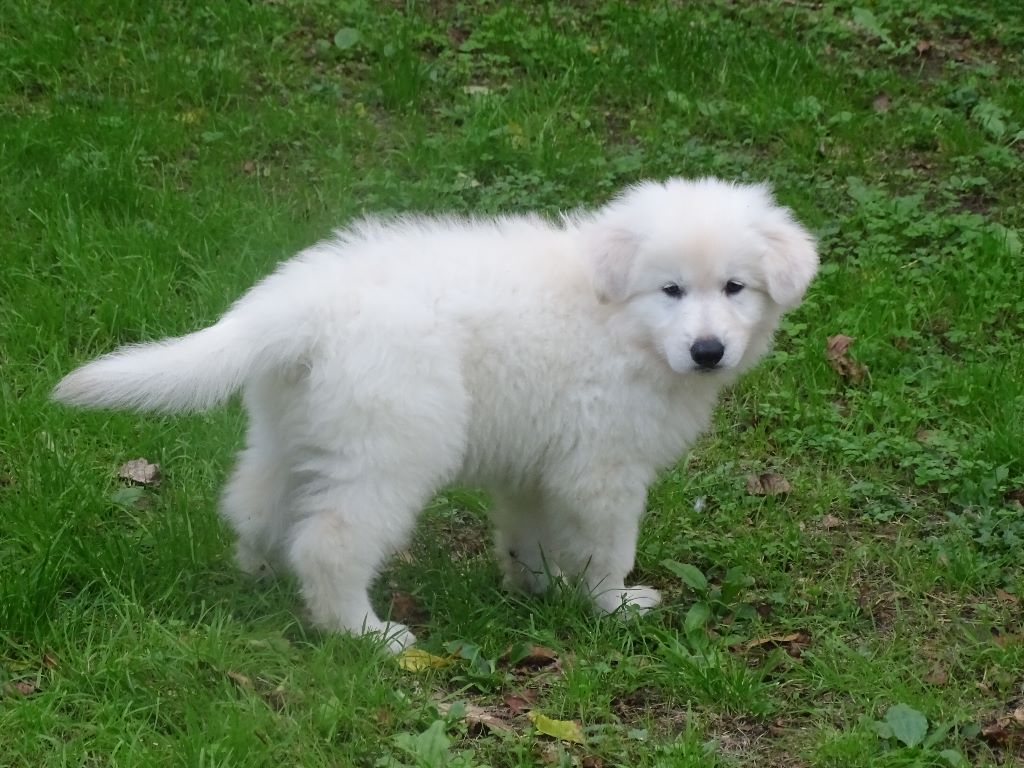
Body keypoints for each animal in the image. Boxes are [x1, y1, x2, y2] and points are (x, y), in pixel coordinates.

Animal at [54, 177, 818, 650]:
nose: (708, 350)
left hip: (295, 431)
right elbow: (606, 546)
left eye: (734, 287)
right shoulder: (601, 467)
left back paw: (262, 578)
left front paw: (532, 587)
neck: (615, 318)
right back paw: (367, 636)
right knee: (329, 543)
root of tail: (295, 308)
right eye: (671, 289)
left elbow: (528, 532)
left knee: (256, 504)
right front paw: (613, 605)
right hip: (393, 444)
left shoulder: (537, 462)